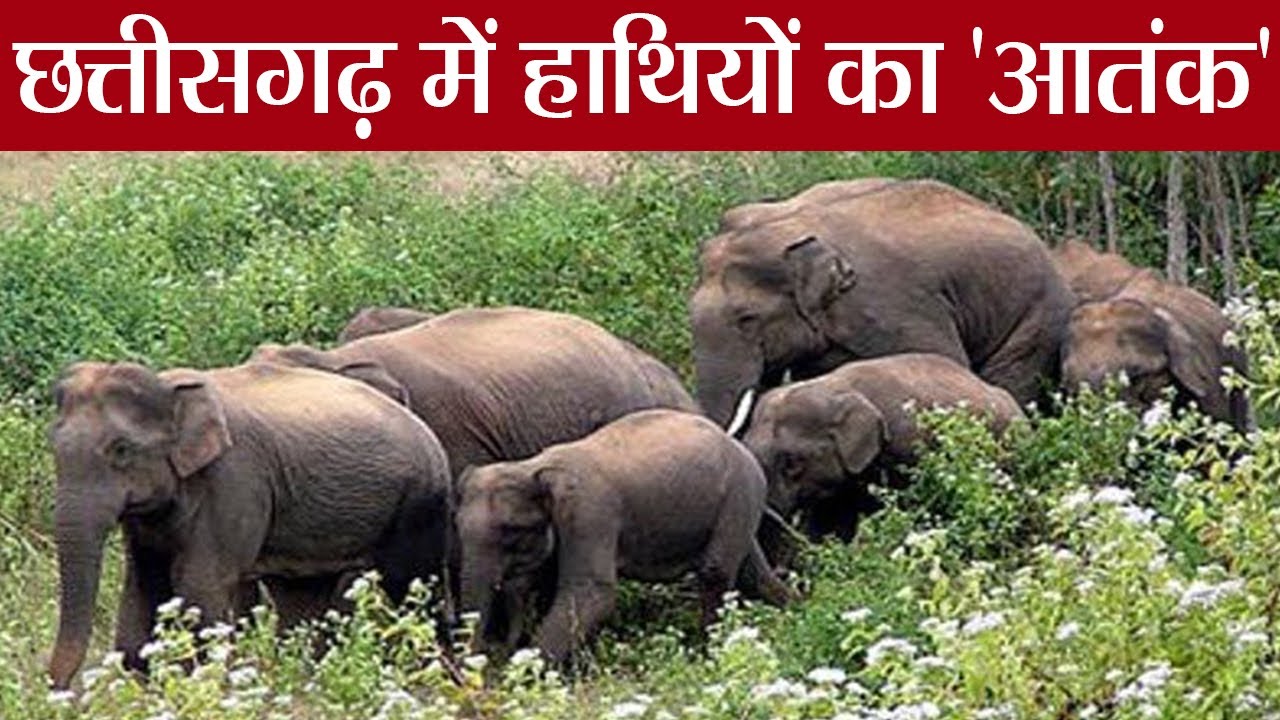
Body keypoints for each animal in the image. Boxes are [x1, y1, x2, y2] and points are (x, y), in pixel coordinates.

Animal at [46, 360, 453, 690]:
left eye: (121, 450)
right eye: (53, 446)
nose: (61, 691)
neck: (170, 388)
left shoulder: (236, 479)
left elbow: (200, 583)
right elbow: (145, 581)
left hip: (417, 502)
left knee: (413, 586)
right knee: (301, 598)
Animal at [455, 409, 794, 666]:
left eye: (511, 530)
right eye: (457, 526)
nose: (489, 655)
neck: (531, 467)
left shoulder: (590, 513)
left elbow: (593, 592)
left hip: (740, 491)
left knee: (715, 572)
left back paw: (706, 655)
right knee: (752, 574)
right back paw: (793, 608)